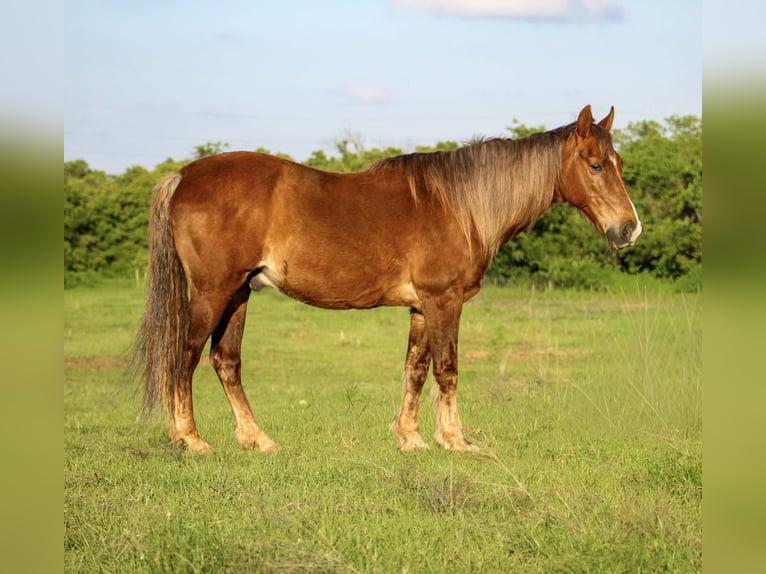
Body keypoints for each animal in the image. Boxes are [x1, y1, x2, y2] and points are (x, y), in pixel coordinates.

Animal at [131, 105, 641, 453]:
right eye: (595, 165)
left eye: (617, 163)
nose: (629, 229)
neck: (460, 205)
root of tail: (183, 176)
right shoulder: (444, 301)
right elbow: (448, 368)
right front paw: (456, 440)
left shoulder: (421, 306)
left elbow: (415, 369)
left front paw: (411, 438)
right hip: (213, 292)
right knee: (185, 355)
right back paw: (190, 439)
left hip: (238, 293)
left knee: (226, 361)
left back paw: (258, 439)